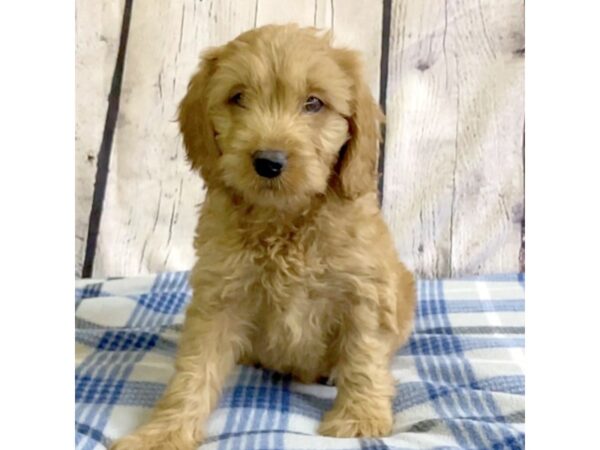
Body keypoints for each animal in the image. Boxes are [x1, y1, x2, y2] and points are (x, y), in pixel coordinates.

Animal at [111, 24, 412, 450]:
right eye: (238, 97)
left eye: (314, 103)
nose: (269, 162)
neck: (283, 220)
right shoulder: (219, 296)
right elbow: (194, 370)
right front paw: (164, 431)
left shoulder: (365, 291)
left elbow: (364, 354)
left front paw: (360, 417)